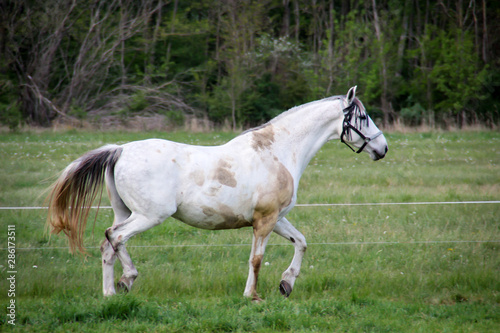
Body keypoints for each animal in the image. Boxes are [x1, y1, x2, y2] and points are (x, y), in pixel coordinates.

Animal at [47, 85, 388, 298]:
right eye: (362, 117)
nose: (383, 148)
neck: (278, 152)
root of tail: (119, 150)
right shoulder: (264, 221)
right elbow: (256, 259)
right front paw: (252, 296)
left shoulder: (277, 219)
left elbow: (301, 243)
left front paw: (286, 284)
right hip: (149, 216)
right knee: (115, 237)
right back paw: (125, 281)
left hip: (125, 211)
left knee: (108, 245)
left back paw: (111, 292)